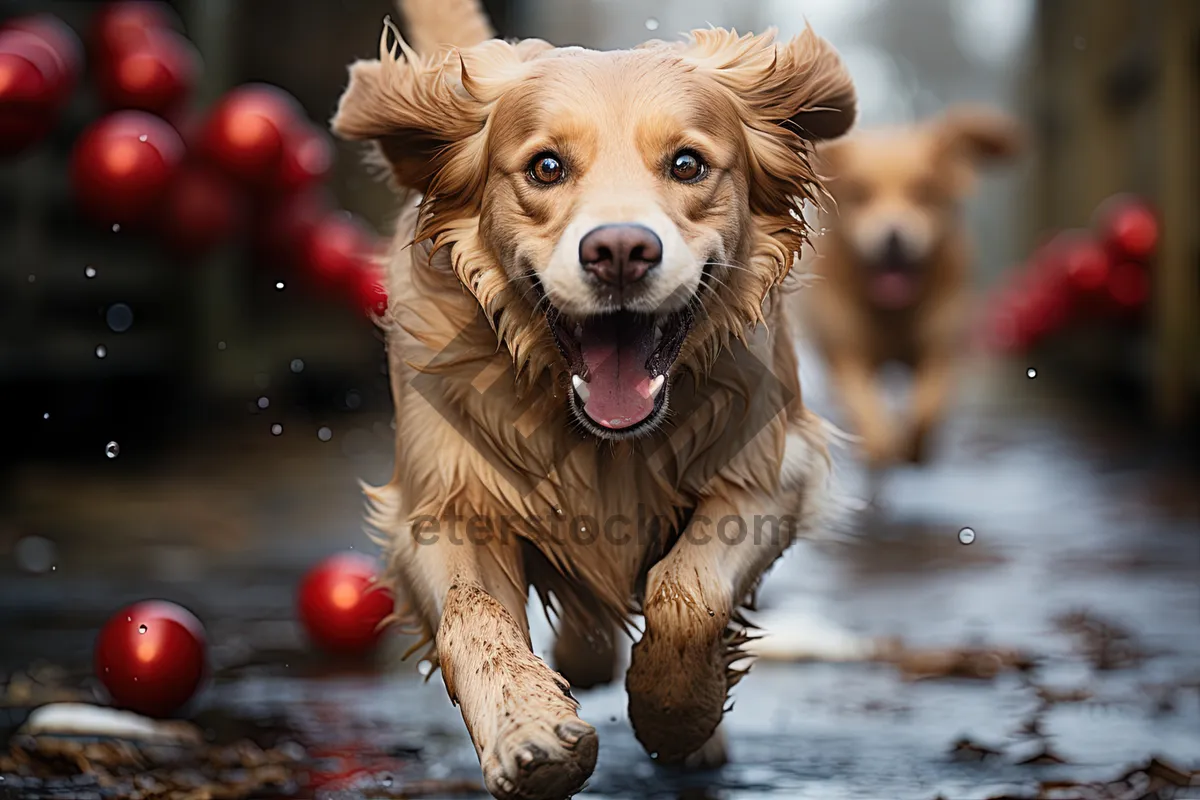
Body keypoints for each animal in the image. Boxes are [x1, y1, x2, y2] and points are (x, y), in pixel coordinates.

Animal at [328, 3, 854, 796]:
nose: (620, 252)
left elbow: (686, 594)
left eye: (687, 164)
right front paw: (529, 733)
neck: (604, 438)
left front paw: (676, 714)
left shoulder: (773, 471)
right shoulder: (440, 501)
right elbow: (472, 619)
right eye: (546, 166)